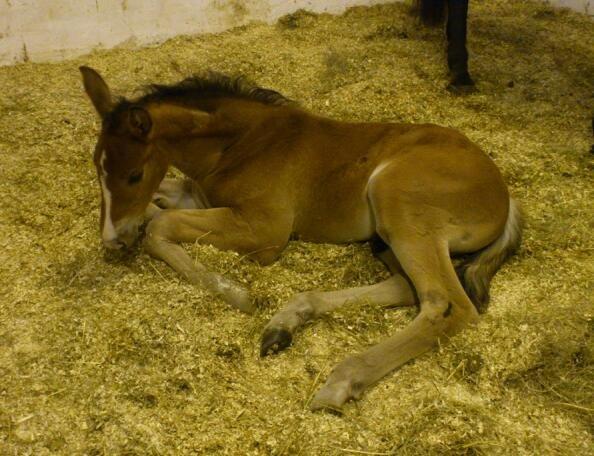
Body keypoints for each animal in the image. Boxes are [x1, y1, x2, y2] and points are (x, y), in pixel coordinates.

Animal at [81, 67, 520, 410]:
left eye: (134, 174)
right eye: (97, 167)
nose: (112, 241)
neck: (241, 144)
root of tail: (505, 195)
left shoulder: (265, 230)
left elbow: (161, 226)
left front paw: (239, 294)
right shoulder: (199, 195)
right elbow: (160, 208)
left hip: (397, 204)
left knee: (447, 304)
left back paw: (341, 380)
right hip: (386, 235)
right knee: (405, 286)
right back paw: (286, 323)